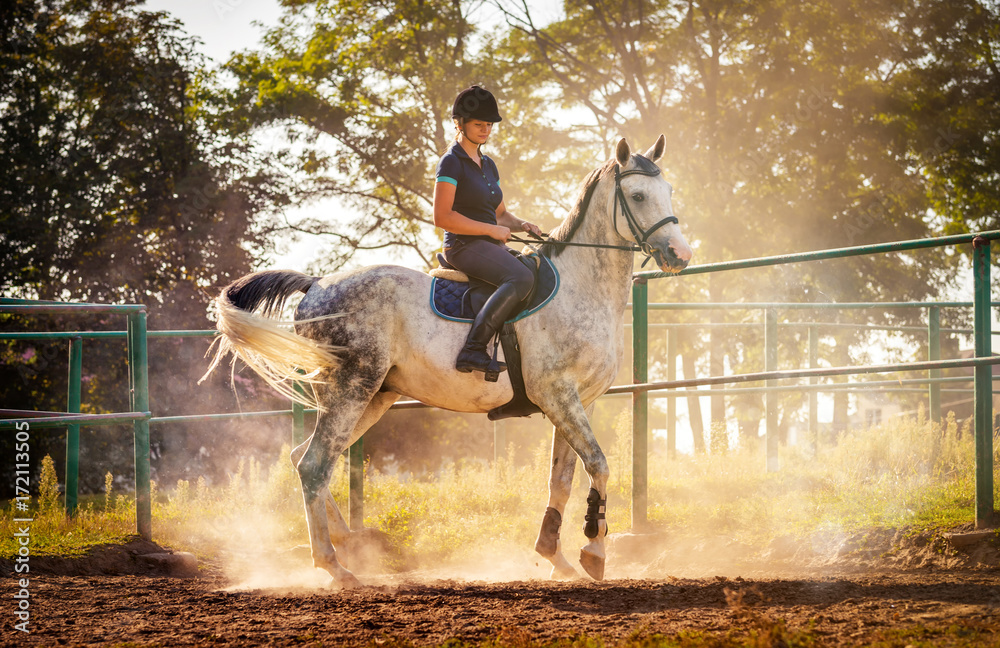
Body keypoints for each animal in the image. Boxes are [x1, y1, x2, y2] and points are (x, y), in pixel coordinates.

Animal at [200, 137, 692, 588]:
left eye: (669, 190)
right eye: (638, 196)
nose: (680, 257)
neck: (579, 288)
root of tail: (317, 283)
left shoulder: (579, 402)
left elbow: (563, 479)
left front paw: (556, 556)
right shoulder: (558, 395)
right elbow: (599, 465)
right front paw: (593, 551)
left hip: (374, 397)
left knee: (307, 459)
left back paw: (343, 544)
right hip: (351, 390)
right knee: (315, 465)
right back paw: (335, 567)